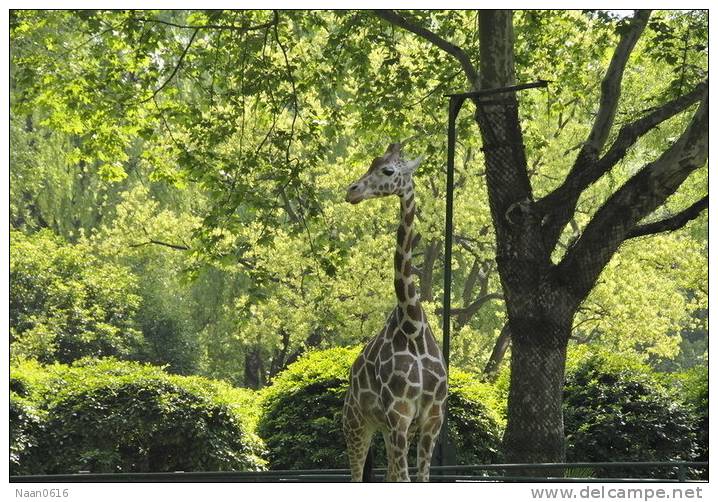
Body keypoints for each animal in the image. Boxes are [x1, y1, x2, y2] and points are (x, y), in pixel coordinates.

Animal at [344, 141, 450, 482]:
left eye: (388, 170)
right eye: (371, 164)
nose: (351, 191)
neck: (412, 325)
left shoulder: (432, 418)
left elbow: (420, 478)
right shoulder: (399, 414)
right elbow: (404, 479)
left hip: (386, 429)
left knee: (388, 472)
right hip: (356, 422)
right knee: (356, 476)